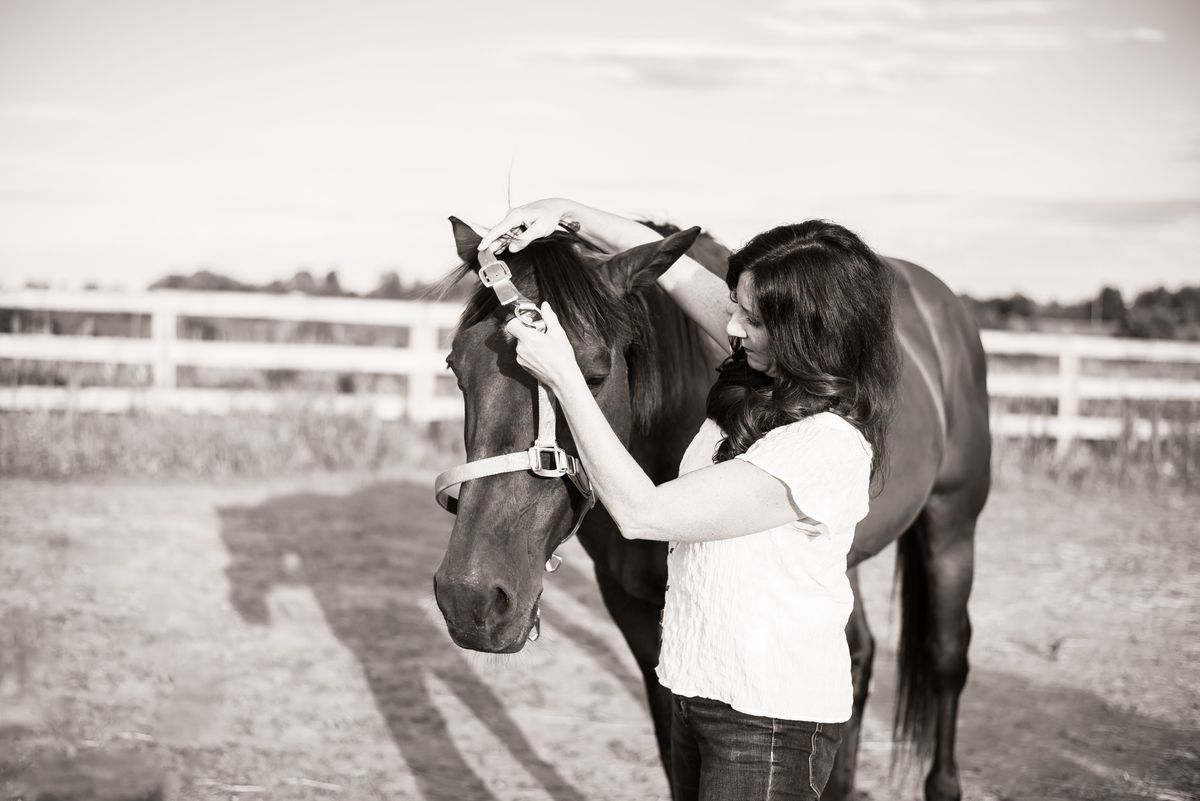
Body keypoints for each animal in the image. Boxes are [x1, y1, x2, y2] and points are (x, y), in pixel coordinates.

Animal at [432, 215, 993, 801]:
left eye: (591, 376)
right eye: (456, 368)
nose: (470, 598)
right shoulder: (634, 612)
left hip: (953, 525)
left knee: (946, 654)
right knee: (856, 656)